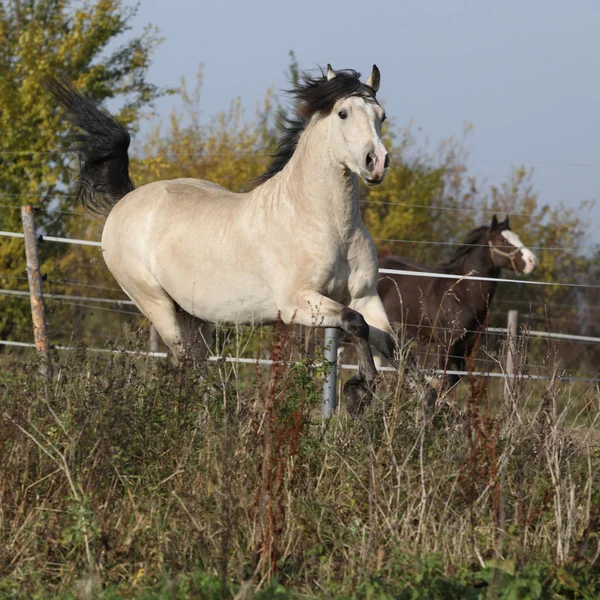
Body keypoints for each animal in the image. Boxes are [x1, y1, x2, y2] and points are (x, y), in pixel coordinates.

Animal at [45, 65, 394, 412]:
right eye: (343, 113)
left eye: (382, 115)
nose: (376, 162)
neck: (329, 224)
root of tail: (124, 201)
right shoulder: (297, 303)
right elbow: (355, 322)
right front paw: (359, 388)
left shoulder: (365, 295)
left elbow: (386, 341)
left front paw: (374, 391)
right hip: (155, 304)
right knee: (189, 363)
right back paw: (218, 411)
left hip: (193, 315)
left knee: (194, 361)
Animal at [378, 217, 536, 398]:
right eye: (501, 240)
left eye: (516, 236)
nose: (532, 261)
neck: (461, 294)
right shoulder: (446, 344)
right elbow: (445, 378)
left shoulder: (465, 346)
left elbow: (454, 379)